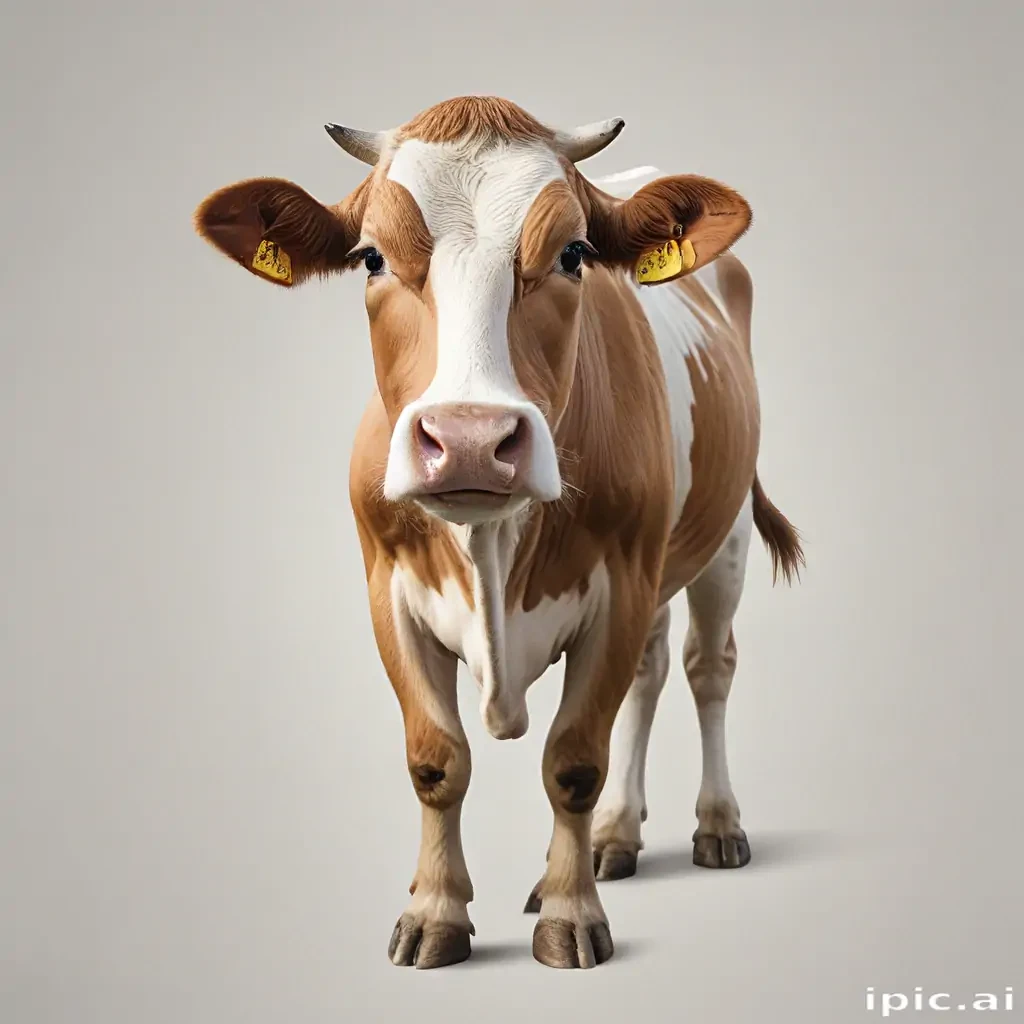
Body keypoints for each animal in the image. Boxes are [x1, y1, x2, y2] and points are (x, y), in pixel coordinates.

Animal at [194, 95, 804, 971]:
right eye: (371, 258)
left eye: (576, 253)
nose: (471, 438)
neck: (491, 554)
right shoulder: (387, 592)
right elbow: (436, 762)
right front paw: (435, 914)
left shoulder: (620, 584)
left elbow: (574, 761)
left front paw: (568, 916)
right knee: (651, 674)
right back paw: (617, 835)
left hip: (723, 542)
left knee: (706, 667)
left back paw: (716, 824)